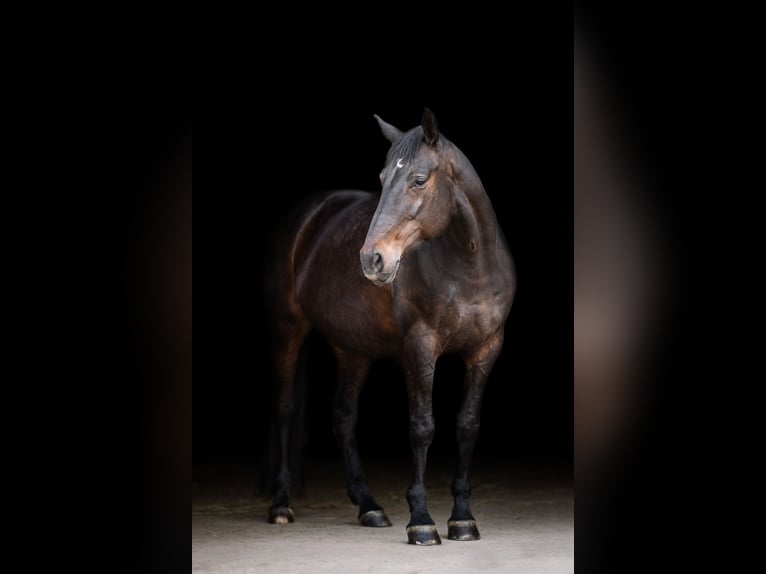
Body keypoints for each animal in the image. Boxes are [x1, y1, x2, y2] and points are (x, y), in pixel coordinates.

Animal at [268, 110, 520, 548]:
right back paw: (282, 505)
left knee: (343, 416)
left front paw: (463, 519)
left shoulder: (486, 349)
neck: (470, 269)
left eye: (419, 179)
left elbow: (467, 426)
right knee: (286, 408)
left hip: (353, 350)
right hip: (289, 330)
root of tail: (308, 215)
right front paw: (421, 521)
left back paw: (369, 506)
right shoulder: (419, 347)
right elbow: (422, 427)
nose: (372, 259)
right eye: (384, 177)